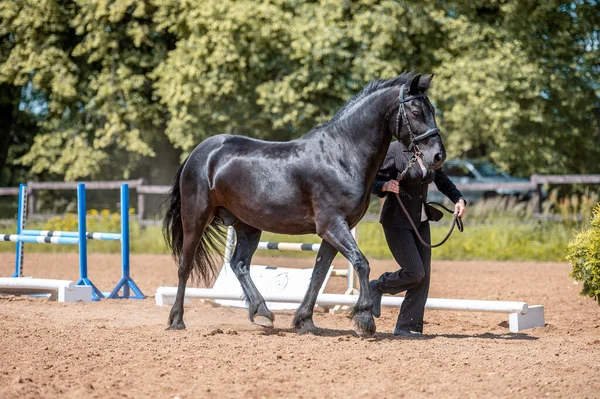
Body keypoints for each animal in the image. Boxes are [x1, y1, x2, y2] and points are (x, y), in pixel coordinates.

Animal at [164, 72, 446, 338]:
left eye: (432, 110)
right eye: (416, 111)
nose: (438, 156)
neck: (342, 154)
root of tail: (200, 152)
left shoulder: (335, 230)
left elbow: (319, 273)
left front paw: (305, 321)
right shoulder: (332, 226)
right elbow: (361, 262)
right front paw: (364, 319)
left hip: (247, 225)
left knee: (239, 264)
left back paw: (263, 313)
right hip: (196, 218)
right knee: (185, 265)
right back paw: (176, 320)